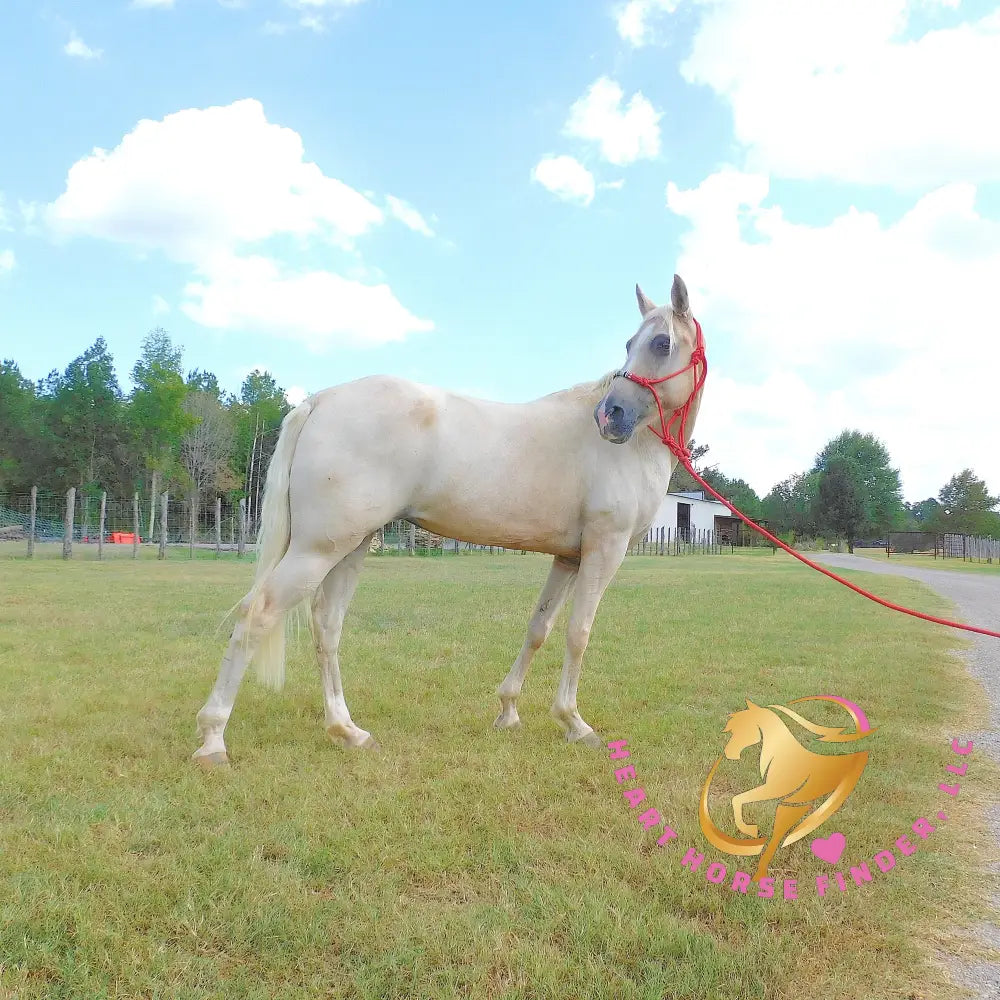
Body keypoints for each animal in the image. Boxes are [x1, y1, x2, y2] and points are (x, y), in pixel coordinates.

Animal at [193, 274, 704, 764]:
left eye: (660, 343)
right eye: (632, 343)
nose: (610, 415)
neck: (634, 446)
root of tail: (321, 400)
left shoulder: (569, 557)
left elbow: (539, 629)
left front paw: (508, 711)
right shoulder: (604, 550)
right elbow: (579, 633)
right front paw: (574, 723)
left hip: (351, 545)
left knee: (327, 625)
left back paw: (348, 731)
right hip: (317, 549)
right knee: (258, 614)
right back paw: (214, 740)